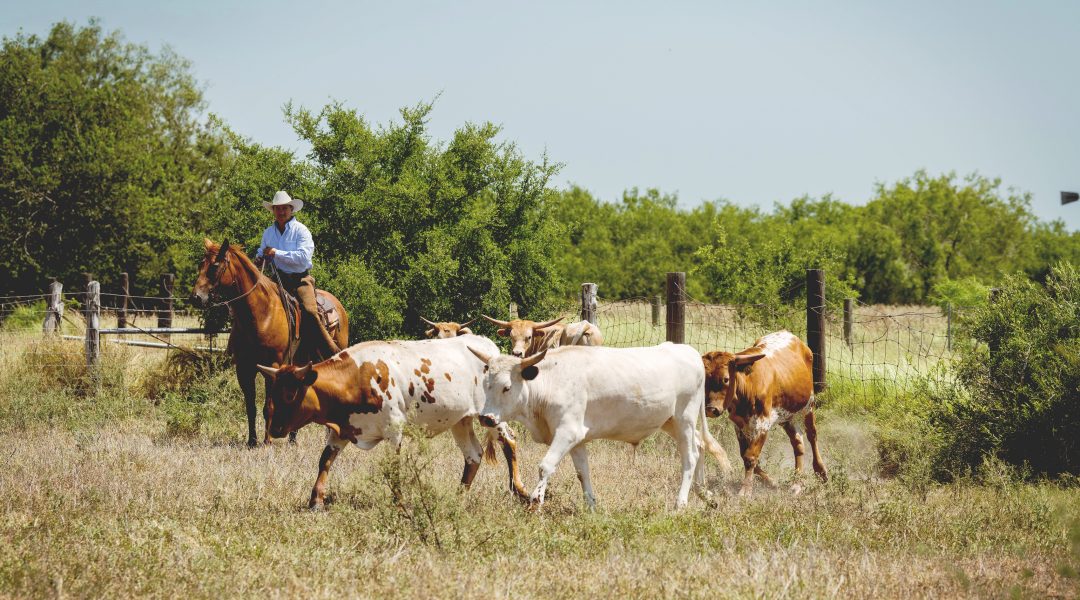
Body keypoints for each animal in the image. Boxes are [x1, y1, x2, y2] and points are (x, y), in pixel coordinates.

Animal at [190, 239, 347, 444]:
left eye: (215, 266)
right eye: (200, 265)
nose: (195, 298)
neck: (261, 314)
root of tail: (338, 305)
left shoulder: (272, 366)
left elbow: (269, 407)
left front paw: (267, 442)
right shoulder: (244, 368)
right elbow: (251, 407)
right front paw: (252, 441)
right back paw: (293, 440)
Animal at [252, 334, 522, 509]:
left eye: (290, 394)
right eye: (273, 393)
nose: (275, 429)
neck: (357, 377)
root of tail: (487, 345)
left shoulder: (394, 430)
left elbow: (393, 468)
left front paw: (399, 503)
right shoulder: (342, 429)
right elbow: (325, 460)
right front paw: (315, 500)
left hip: (491, 415)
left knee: (509, 442)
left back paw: (519, 489)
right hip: (461, 420)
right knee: (473, 455)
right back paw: (459, 497)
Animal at [468, 343, 730, 507]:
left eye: (506, 387)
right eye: (486, 384)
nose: (486, 418)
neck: (551, 382)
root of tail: (688, 351)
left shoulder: (567, 432)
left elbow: (545, 466)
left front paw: (535, 502)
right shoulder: (576, 440)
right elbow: (582, 473)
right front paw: (591, 506)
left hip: (684, 418)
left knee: (690, 456)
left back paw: (681, 502)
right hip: (670, 421)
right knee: (700, 445)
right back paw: (705, 494)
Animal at [699, 330, 825, 494]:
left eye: (726, 379)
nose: (710, 409)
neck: (747, 386)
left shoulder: (762, 424)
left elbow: (750, 456)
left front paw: (745, 491)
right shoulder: (739, 425)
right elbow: (746, 455)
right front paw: (772, 483)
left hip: (808, 405)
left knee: (812, 435)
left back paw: (820, 472)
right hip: (787, 416)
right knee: (797, 443)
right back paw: (797, 483)